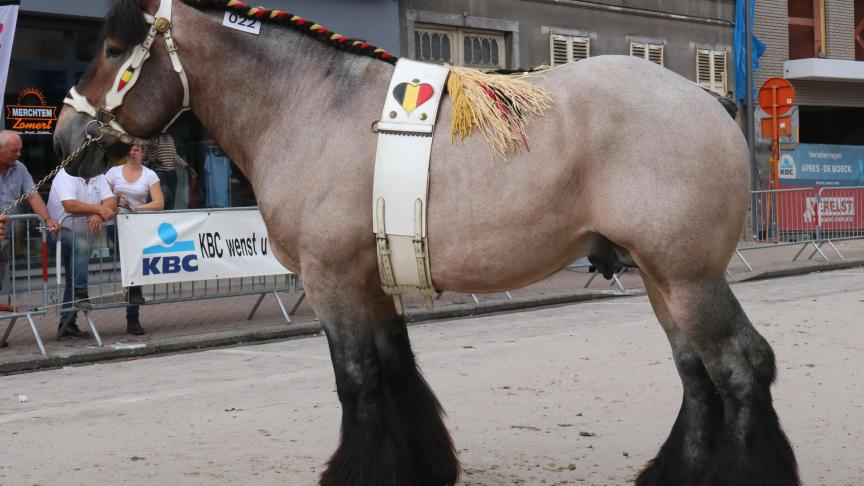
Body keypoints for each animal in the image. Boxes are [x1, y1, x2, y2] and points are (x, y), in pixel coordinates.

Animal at [54, 0, 800, 486]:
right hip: (660, 276)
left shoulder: (332, 279)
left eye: (114, 51)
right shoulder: (370, 278)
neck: (309, 105)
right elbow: (395, 369)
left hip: (688, 275)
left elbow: (358, 379)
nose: (63, 136)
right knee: (697, 373)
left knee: (740, 366)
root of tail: (707, 100)